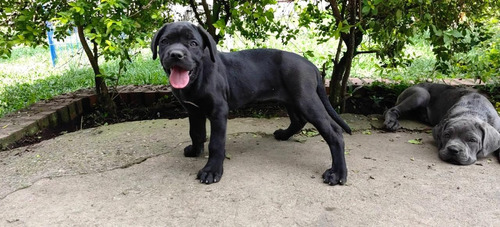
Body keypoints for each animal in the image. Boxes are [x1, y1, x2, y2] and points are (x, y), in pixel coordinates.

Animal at [152, 20, 352, 184]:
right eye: (165, 41)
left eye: (193, 43)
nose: (176, 54)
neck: (199, 74)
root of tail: (311, 65)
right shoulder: (194, 110)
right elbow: (196, 133)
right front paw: (195, 151)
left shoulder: (218, 111)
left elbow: (216, 143)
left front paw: (212, 171)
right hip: (292, 99)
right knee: (298, 120)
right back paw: (283, 135)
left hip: (306, 100)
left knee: (334, 132)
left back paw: (338, 174)